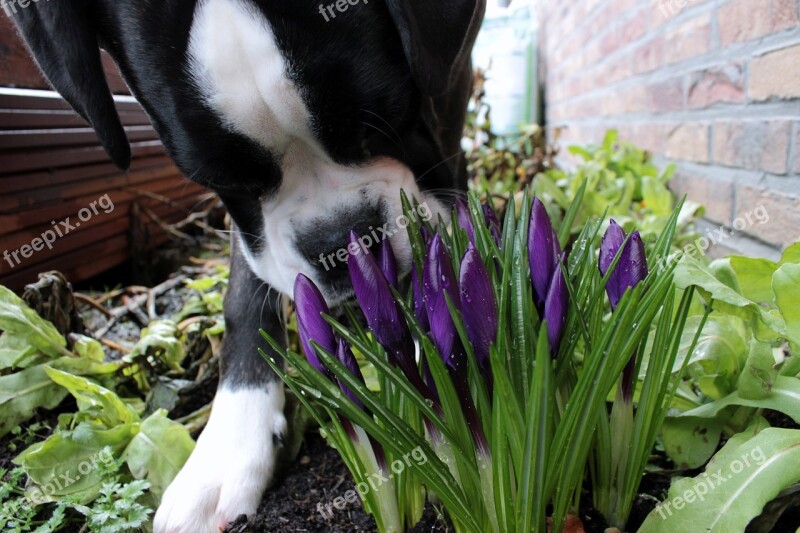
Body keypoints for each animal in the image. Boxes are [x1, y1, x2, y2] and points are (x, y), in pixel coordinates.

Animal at [12, 2, 484, 528]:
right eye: (226, 180)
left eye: (382, 121)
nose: (337, 241)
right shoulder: (250, 230)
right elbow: (244, 296)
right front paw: (227, 447)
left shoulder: (448, 92)